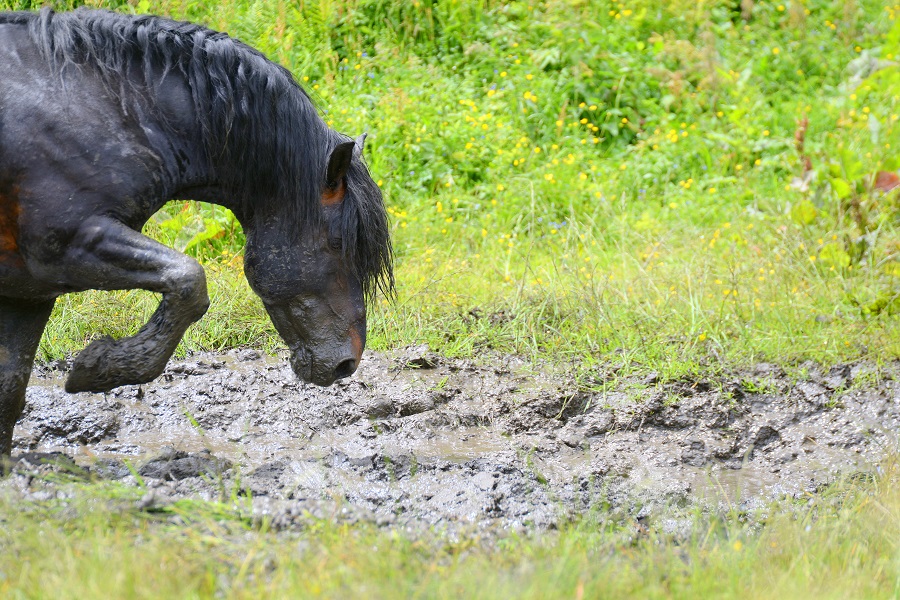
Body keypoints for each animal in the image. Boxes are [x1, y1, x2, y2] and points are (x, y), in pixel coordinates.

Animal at [0, 9, 394, 458]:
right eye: (338, 244)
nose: (347, 364)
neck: (107, 107)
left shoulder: (30, 289)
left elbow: (10, 389)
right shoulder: (67, 245)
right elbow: (190, 280)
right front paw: (99, 367)